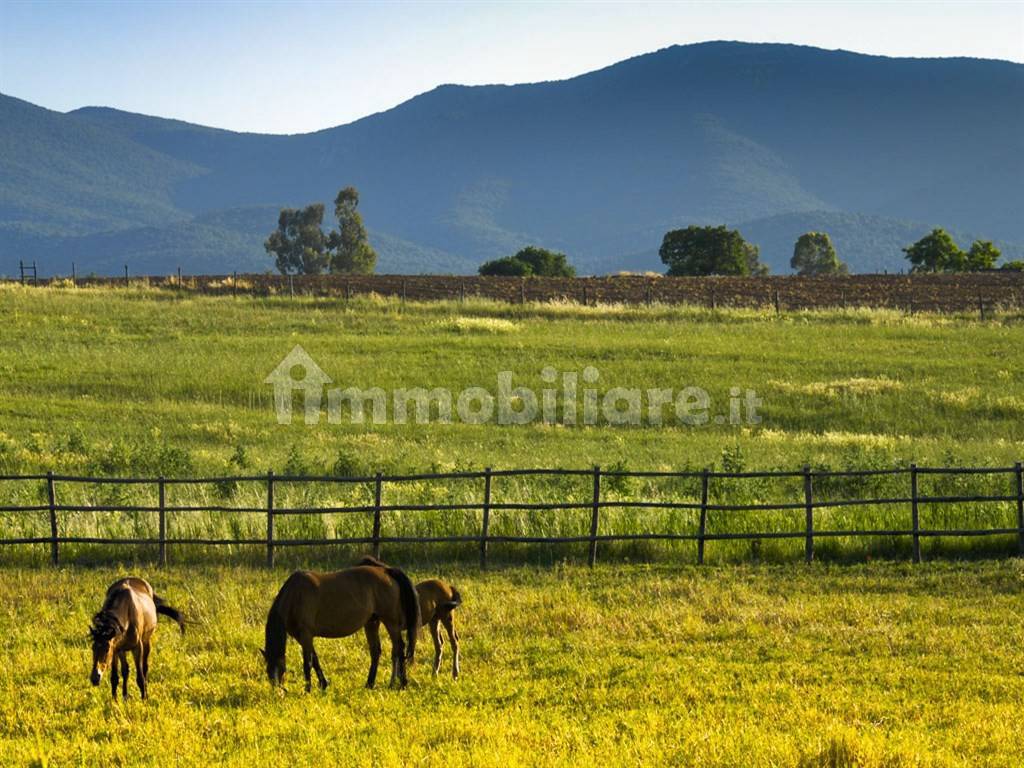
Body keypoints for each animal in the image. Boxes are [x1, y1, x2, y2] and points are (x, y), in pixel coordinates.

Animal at [264, 561, 423, 696]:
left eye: (279, 668)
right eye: (268, 670)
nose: (278, 692)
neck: (296, 595)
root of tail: (386, 571)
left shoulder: (306, 635)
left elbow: (307, 662)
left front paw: (307, 690)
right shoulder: (303, 637)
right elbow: (315, 659)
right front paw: (323, 684)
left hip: (390, 622)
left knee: (399, 648)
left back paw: (401, 684)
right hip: (372, 622)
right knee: (376, 651)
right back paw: (370, 684)